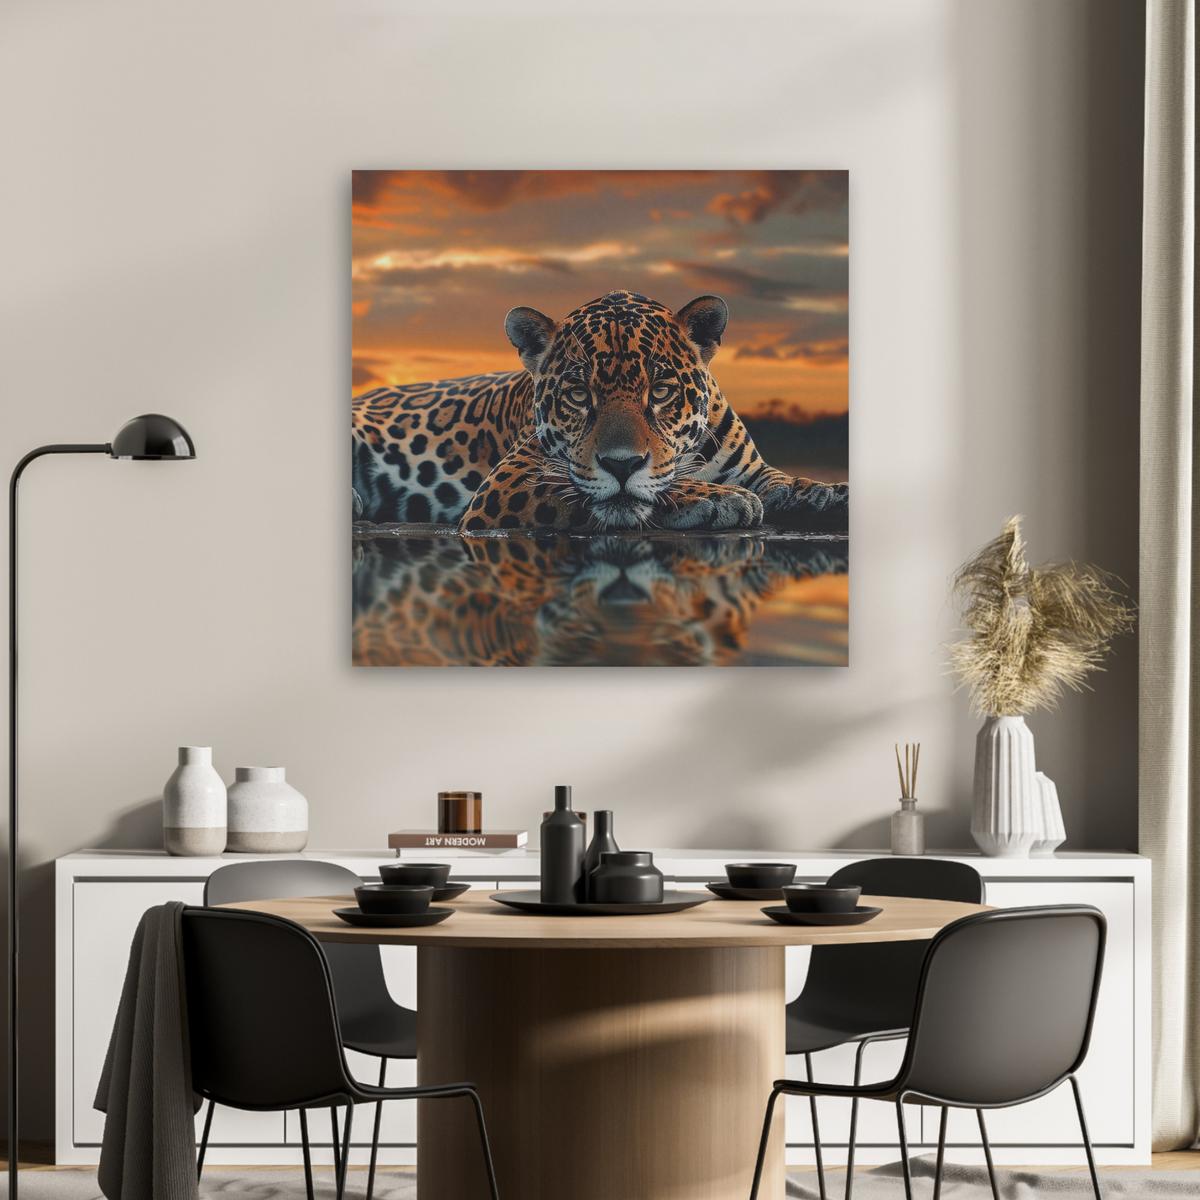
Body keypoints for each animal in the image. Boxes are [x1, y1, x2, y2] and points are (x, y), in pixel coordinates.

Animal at [352, 291, 848, 534]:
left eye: (661, 391)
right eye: (577, 394)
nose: (621, 464)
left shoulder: (754, 469)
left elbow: (785, 481)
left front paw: (828, 493)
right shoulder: (509, 481)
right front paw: (719, 498)